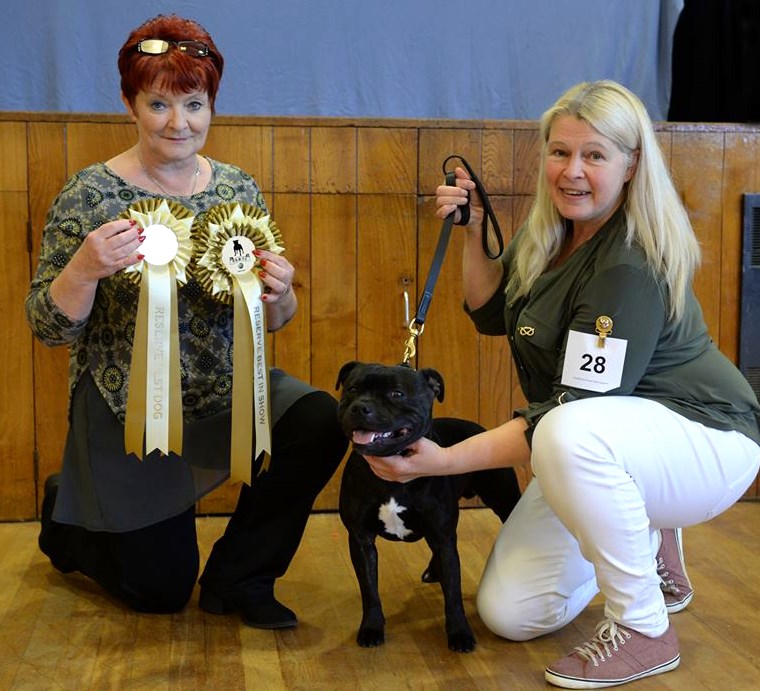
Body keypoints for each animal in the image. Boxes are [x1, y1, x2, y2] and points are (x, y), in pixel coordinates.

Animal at [336, 361, 521, 652]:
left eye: (397, 394)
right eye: (352, 389)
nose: (360, 407)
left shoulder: (443, 536)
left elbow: (453, 593)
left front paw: (459, 633)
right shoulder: (360, 538)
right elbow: (369, 589)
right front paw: (371, 627)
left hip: (502, 499)